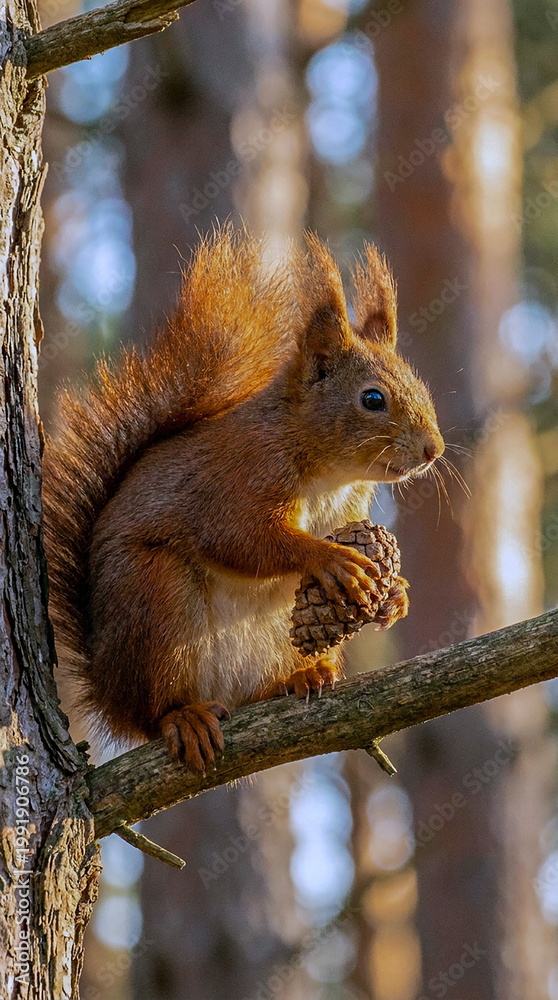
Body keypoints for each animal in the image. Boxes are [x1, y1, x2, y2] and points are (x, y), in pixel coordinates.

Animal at [42, 226, 444, 772]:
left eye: (420, 384)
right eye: (373, 399)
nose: (433, 450)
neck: (329, 473)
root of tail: (108, 693)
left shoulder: (350, 509)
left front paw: (395, 593)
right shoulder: (240, 476)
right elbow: (241, 538)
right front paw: (331, 559)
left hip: (274, 641)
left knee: (260, 691)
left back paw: (300, 677)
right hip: (155, 600)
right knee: (154, 711)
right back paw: (183, 717)